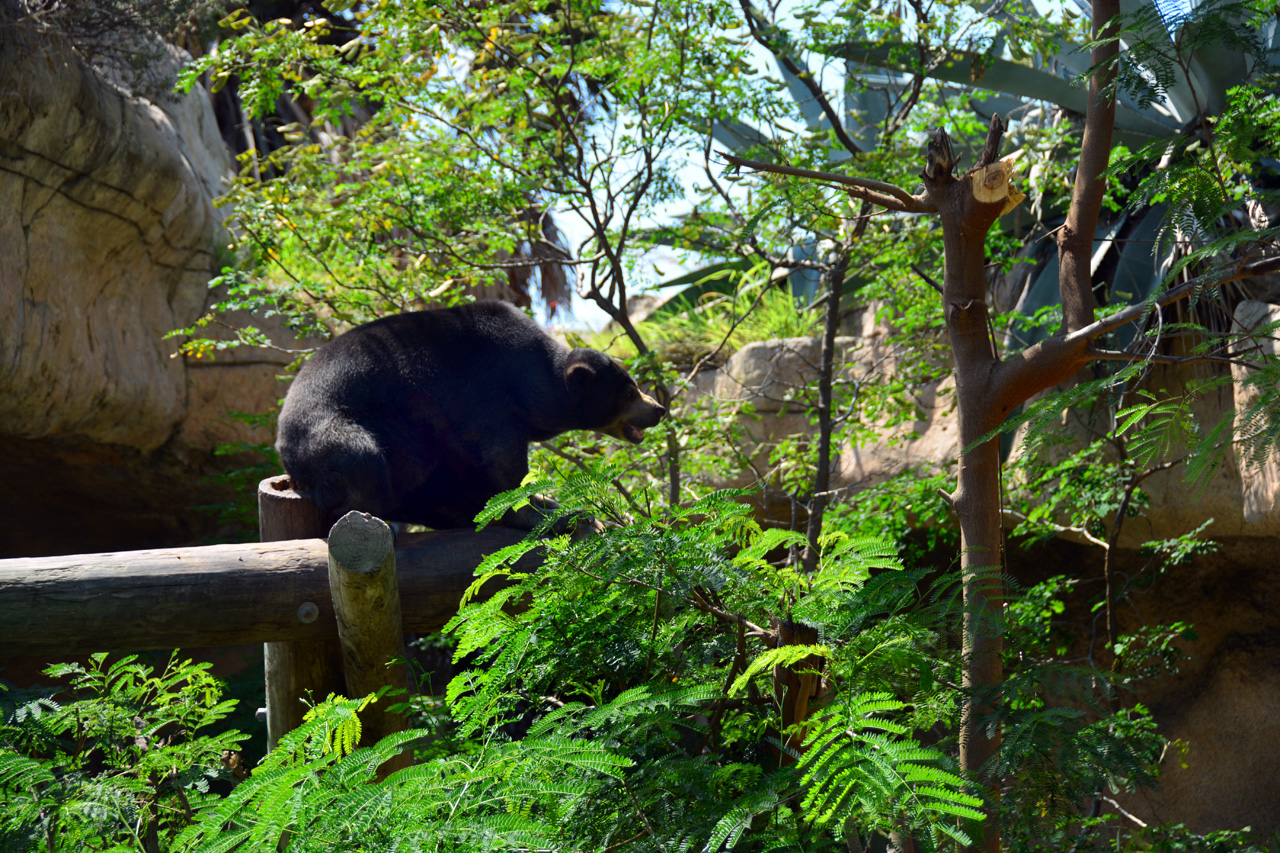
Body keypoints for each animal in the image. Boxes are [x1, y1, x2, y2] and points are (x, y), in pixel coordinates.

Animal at [273, 297, 665, 525]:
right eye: (630, 392)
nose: (659, 409)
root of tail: (284, 448)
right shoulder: (485, 396)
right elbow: (503, 461)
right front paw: (536, 511)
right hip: (337, 435)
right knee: (363, 460)